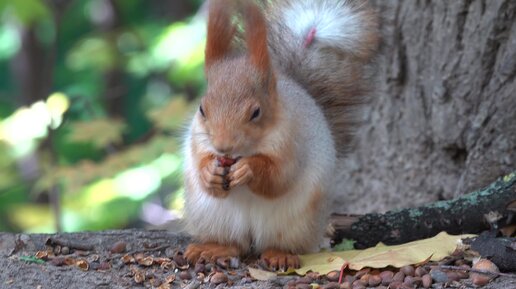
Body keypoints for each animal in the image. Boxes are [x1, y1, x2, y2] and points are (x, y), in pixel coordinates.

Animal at [182, 0, 378, 270]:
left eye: (256, 112)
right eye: (202, 109)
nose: (223, 147)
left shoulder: (293, 143)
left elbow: (279, 177)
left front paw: (249, 169)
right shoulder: (198, 140)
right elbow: (203, 164)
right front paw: (209, 172)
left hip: (295, 223)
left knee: (278, 243)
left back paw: (280, 255)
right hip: (212, 217)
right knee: (234, 244)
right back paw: (214, 249)